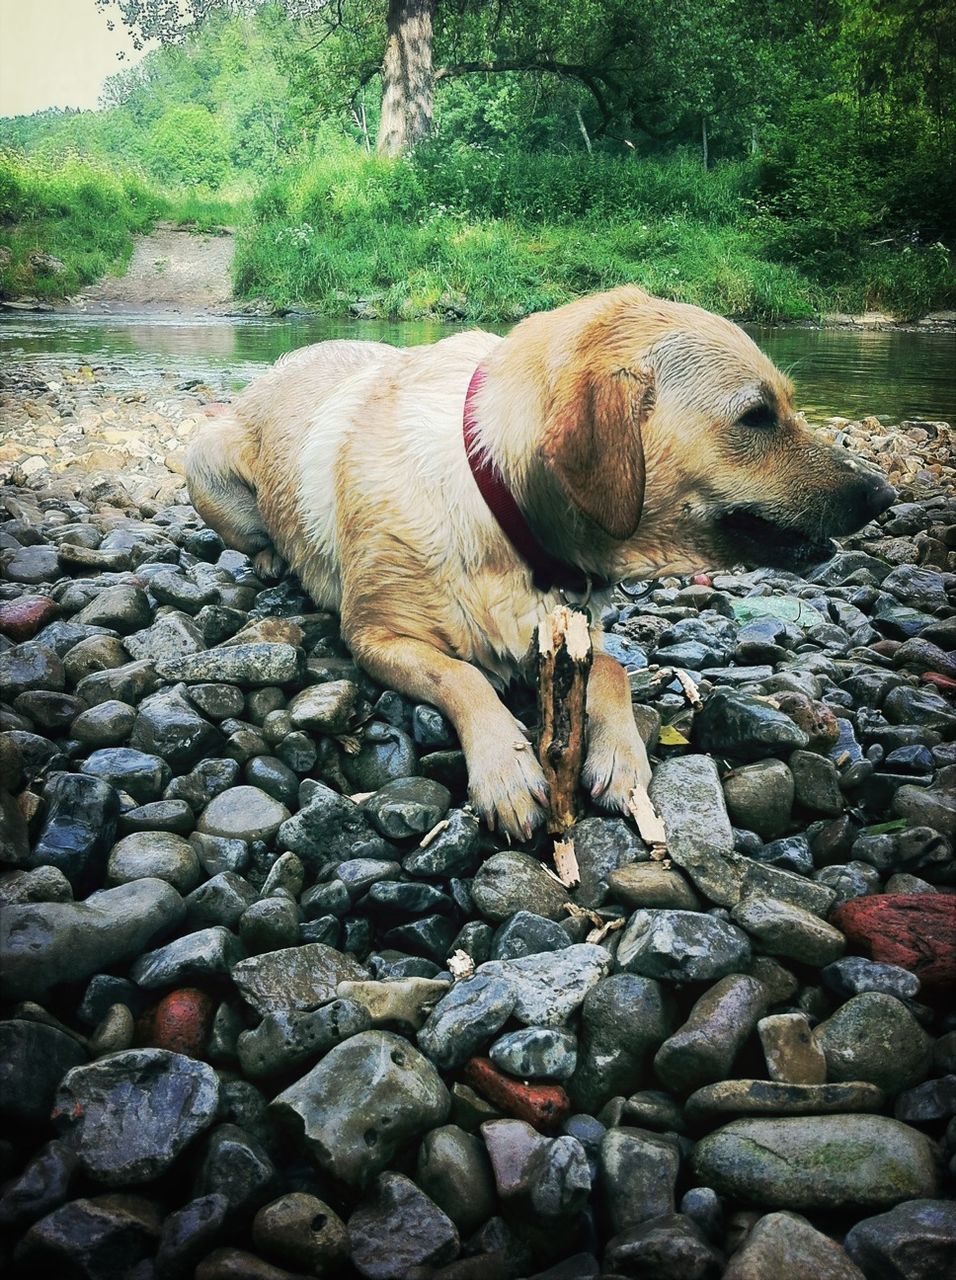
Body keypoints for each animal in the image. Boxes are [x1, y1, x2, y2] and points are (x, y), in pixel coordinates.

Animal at [189, 285, 895, 834]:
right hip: (203, 460)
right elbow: (463, 677)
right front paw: (504, 769)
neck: (496, 497)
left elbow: (612, 669)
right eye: (755, 416)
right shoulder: (373, 636)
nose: (883, 493)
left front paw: (622, 754)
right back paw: (271, 560)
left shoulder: (570, 630)